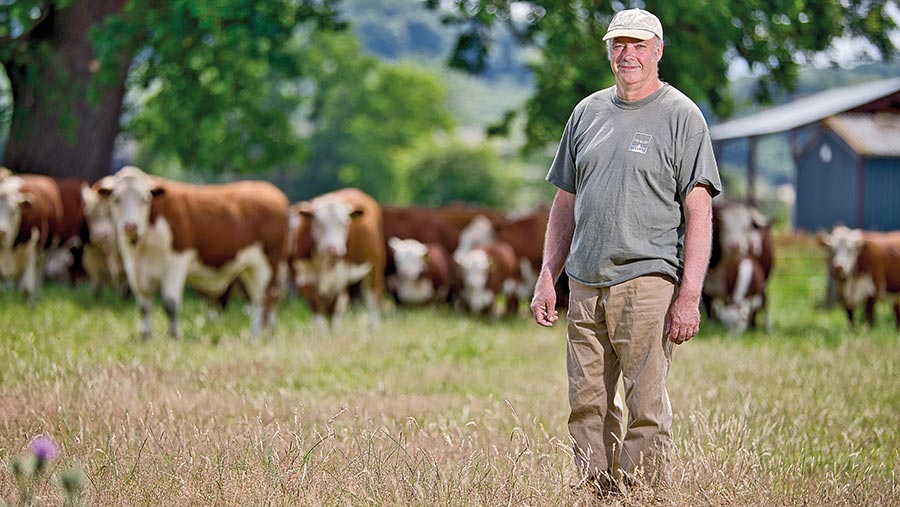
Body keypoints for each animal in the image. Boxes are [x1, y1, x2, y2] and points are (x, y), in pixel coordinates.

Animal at [0, 174, 62, 302]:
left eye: (13, 211)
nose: (1, 231)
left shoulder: (31, 252)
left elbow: (26, 289)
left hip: (44, 251)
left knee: (37, 277)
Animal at [95, 168, 286, 342]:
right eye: (116, 199)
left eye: (145, 199)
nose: (130, 226)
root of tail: (271, 191)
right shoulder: (135, 270)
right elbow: (144, 306)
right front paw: (145, 336)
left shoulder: (176, 261)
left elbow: (170, 303)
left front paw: (173, 335)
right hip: (248, 268)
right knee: (255, 299)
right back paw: (256, 334)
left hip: (268, 265)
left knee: (266, 298)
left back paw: (261, 335)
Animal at [290, 189, 384, 328]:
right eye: (319, 223)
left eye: (345, 223)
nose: (332, 248)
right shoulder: (302, 278)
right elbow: (317, 308)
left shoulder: (339, 279)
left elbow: (333, 310)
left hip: (375, 267)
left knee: (372, 296)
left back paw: (373, 327)